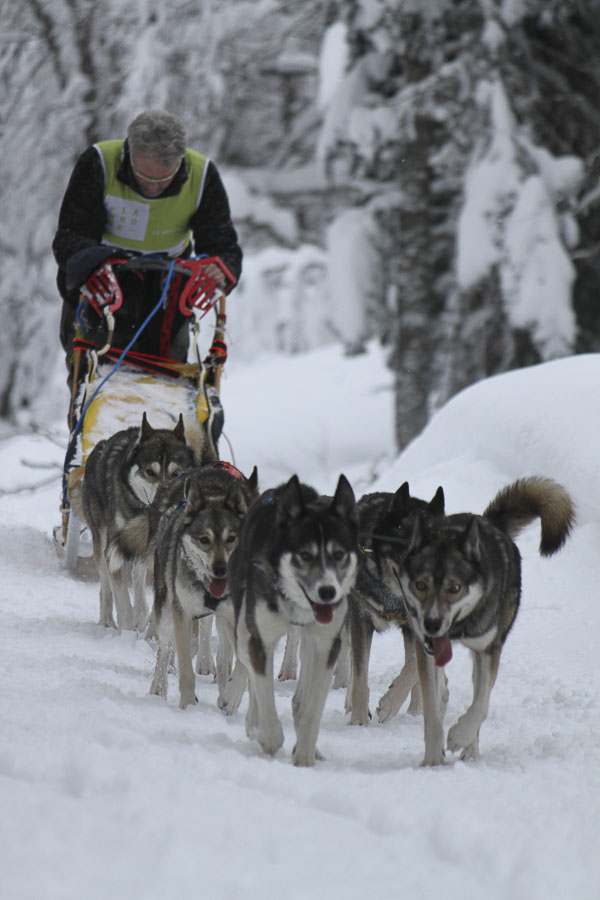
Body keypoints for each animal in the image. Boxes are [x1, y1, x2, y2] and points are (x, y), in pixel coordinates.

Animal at [81, 412, 195, 628]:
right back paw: (107, 620)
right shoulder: (113, 549)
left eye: (176, 473)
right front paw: (125, 630)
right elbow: (122, 600)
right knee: (106, 584)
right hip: (102, 539)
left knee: (137, 576)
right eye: (150, 471)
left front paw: (141, 620)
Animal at [146, 464, 258, 712]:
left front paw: (231, 698)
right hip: (166, 611)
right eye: (204, 540)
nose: (221, 569)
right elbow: (185, 667)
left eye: (231, 538)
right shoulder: (182, 614)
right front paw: (188, 704)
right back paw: (158, 688)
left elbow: (243, 663)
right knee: (165, 648)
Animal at [230, 472, 358, 768]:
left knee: (300, 698)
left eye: (338, 554)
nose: (327, 592)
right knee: (251, 676)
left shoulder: (327, 644)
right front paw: (268, 736)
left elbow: (313, 706)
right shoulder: (259, 640)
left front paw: (305, 754)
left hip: (309, 641)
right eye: (305, 555)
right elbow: (263, 692)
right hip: (242, 634)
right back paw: (253, 724)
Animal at [346, 482, 446, 728]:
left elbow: (414, 667)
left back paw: (417, 711)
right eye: (407, 551)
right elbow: (360, 674)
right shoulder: (360, 620)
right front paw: (359, 720)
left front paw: (390, 704)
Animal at [396, 474, 576, 764]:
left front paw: (459, 736)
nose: (432, 624)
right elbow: (432, 709)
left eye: (454, 588)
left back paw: (470, 750)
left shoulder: (489, 650)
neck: (459, 628)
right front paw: (433, 758)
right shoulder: (427, 653)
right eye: (421, 585)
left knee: (479, 698)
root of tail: (488, 521)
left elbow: (481, 704)